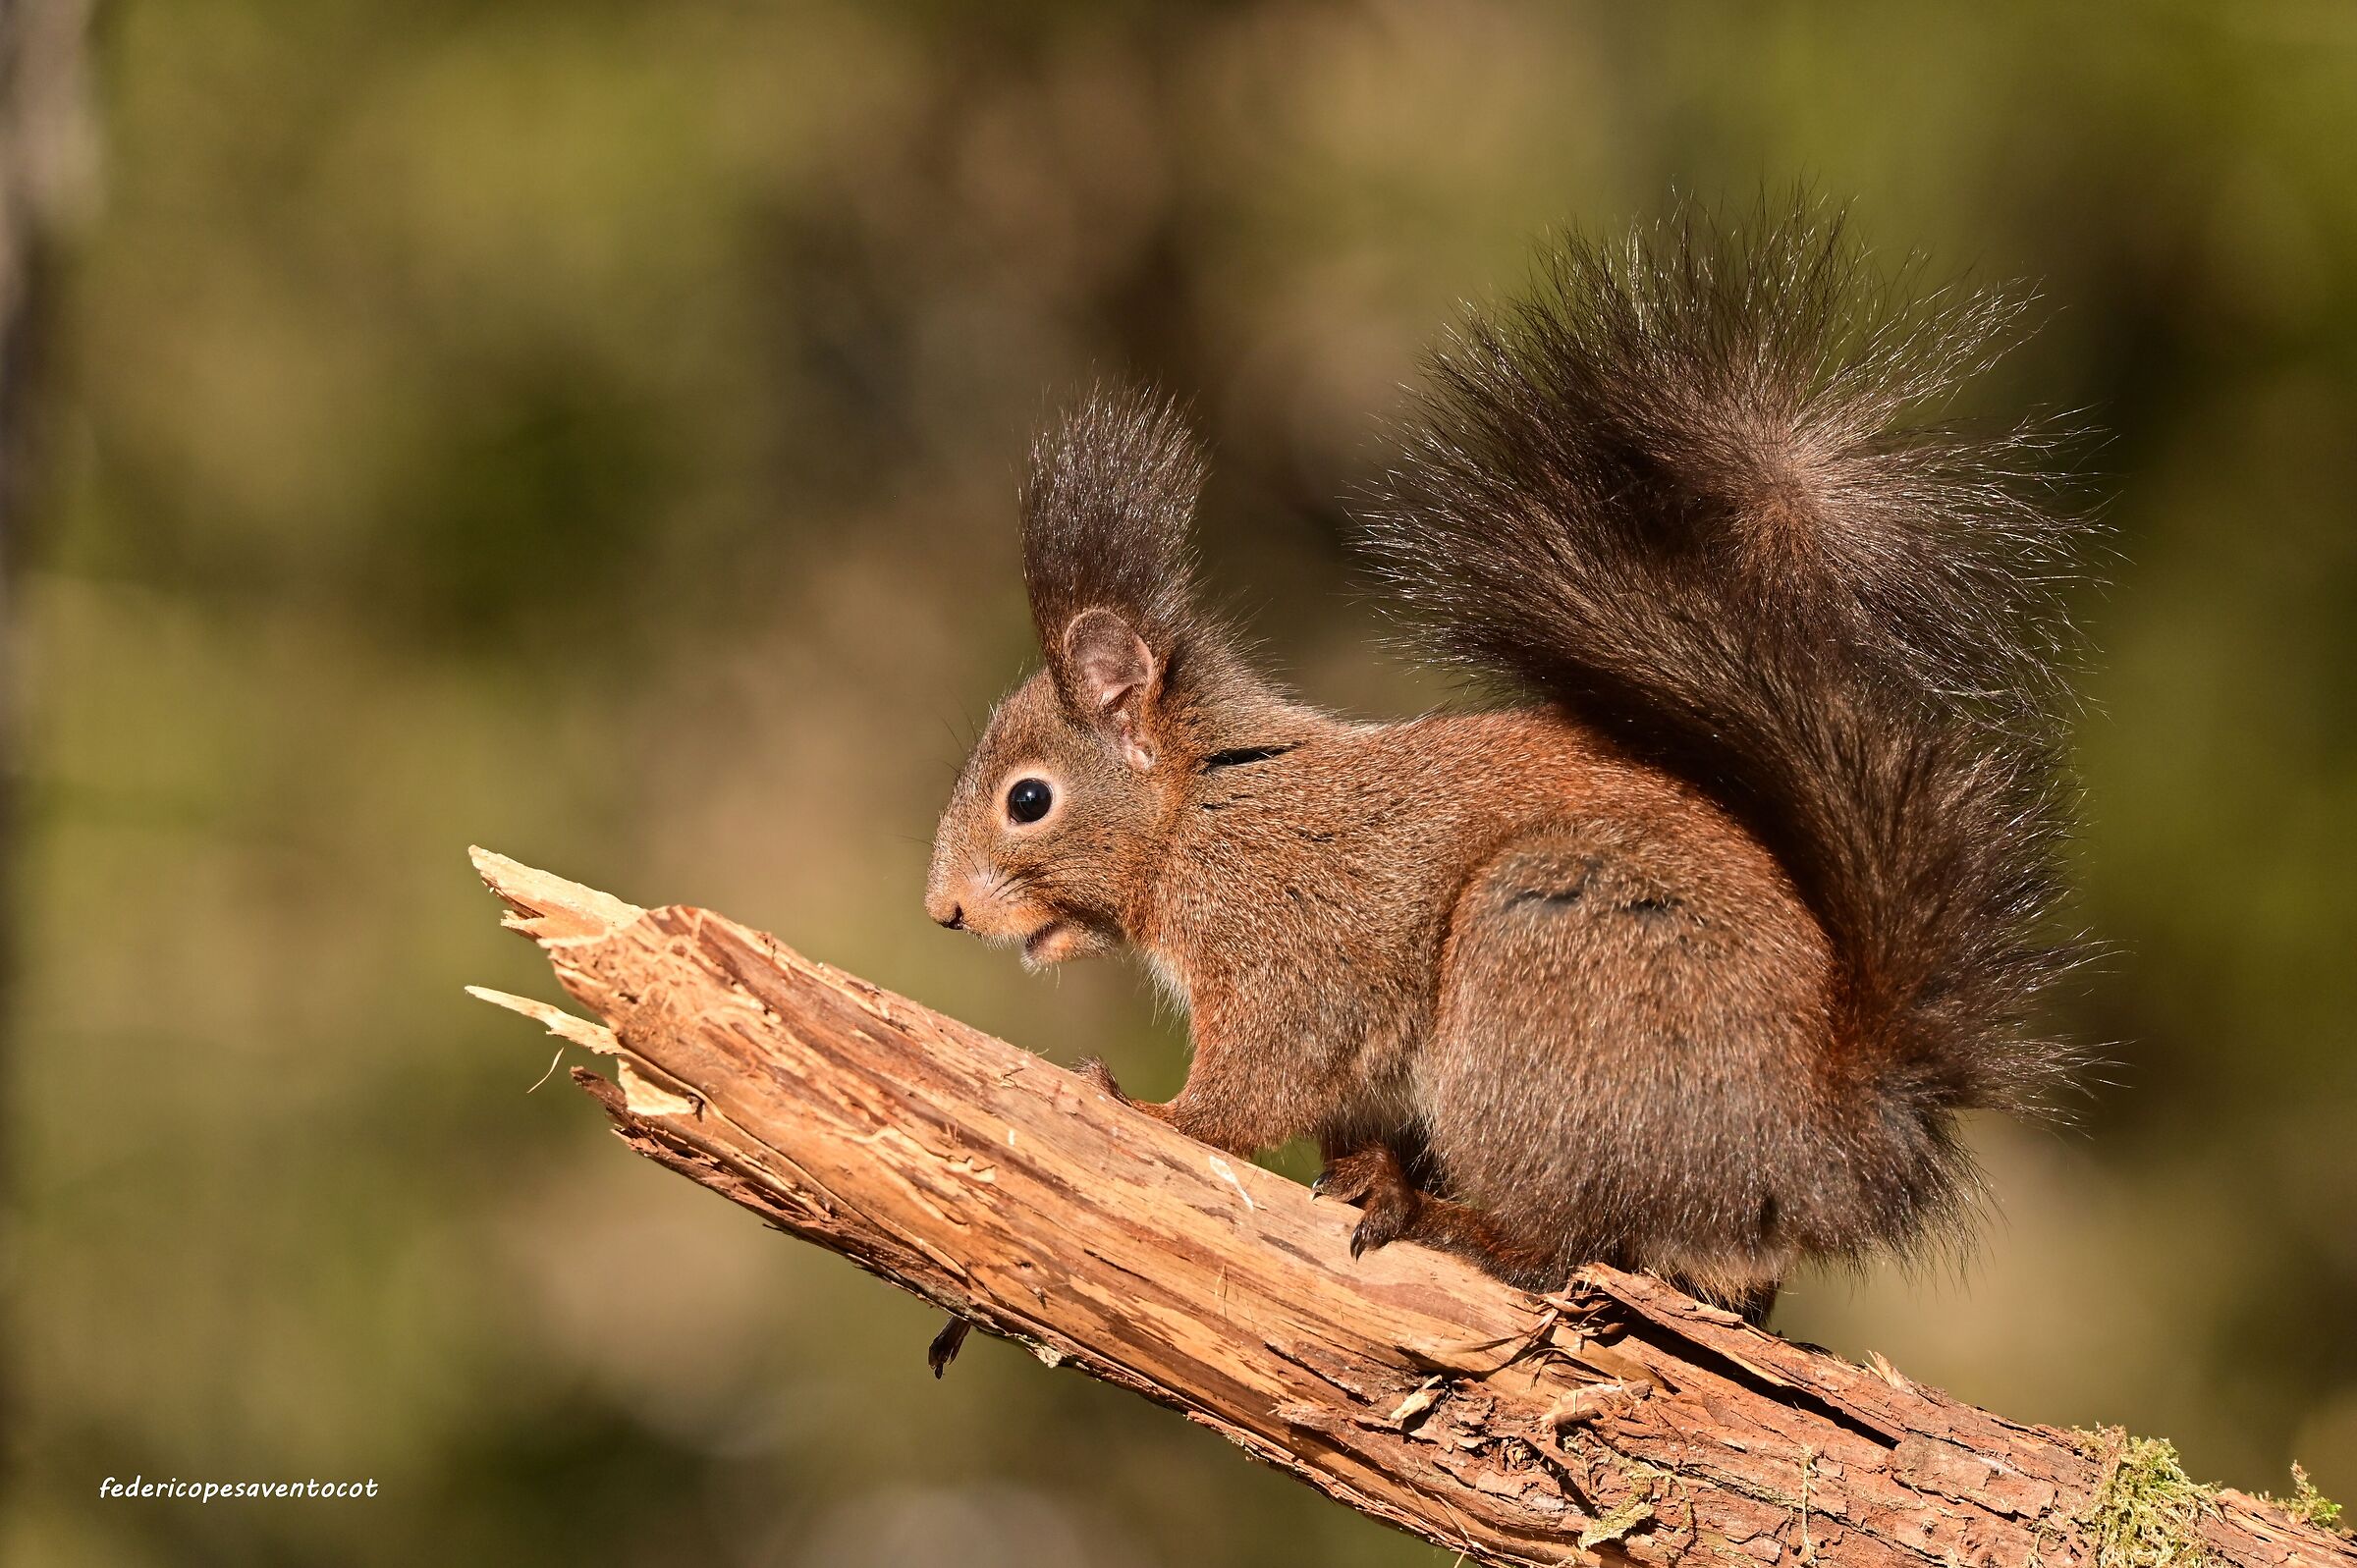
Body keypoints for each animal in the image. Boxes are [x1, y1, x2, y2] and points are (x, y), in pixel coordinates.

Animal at [922, 210, 2086, 1322]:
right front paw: (1341, 1160)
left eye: (1029, 800)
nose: (944, 913)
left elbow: (1262, 1081)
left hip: (1544, 977)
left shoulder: (1287, 943)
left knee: (1560, 1237)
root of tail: (1817, 1142)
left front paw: (1148, 1109)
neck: (1203, 809)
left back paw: (1451, 1221)